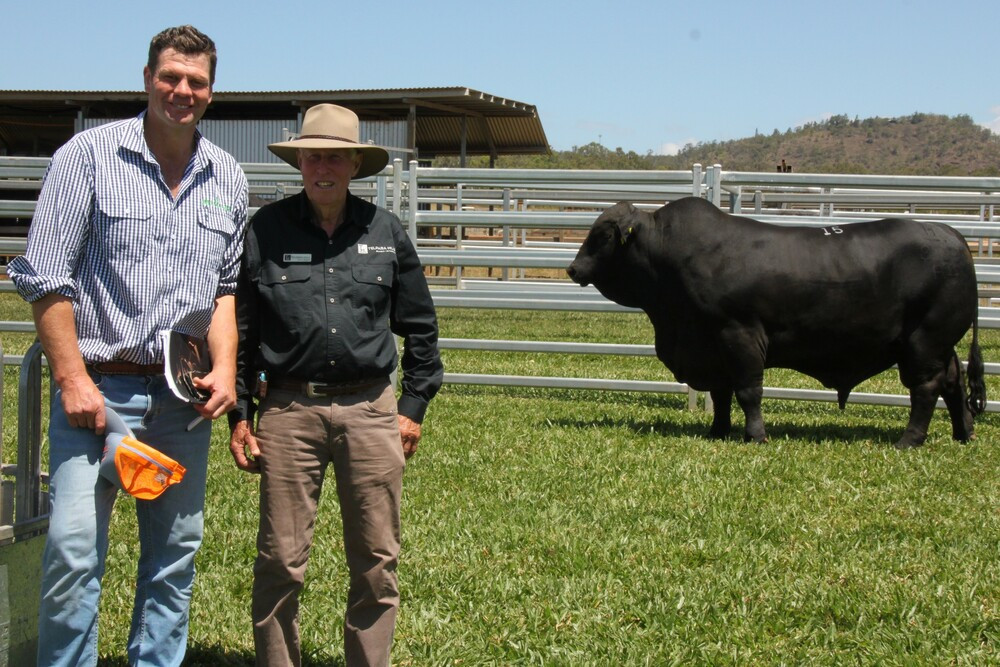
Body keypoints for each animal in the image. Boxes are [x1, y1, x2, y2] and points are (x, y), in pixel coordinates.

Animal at [568, 198, 988, 448]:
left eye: (602, 235)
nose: (572, 268)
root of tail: (951, 235)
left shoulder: (739, 333)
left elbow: (748, 391)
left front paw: (755, 436)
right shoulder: (712, 346)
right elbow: (722, 392)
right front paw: (718, 431)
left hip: (924, 340)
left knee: (926, 388)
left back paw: (910, 440)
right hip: (939, 343)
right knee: (953, 381)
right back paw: (963, 433)